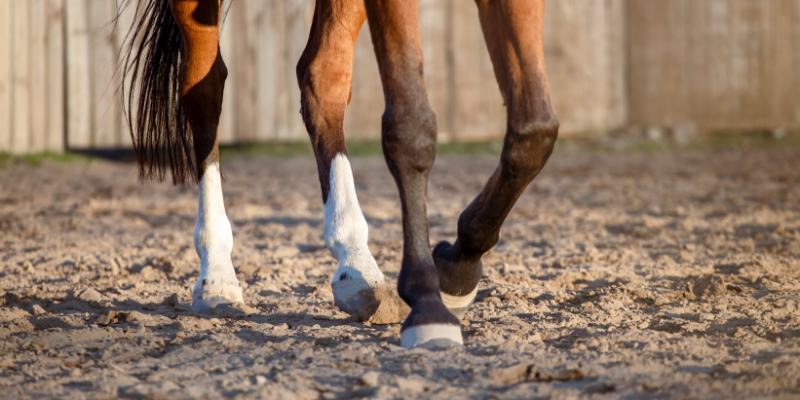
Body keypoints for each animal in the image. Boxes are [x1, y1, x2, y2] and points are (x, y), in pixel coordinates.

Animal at [120, 0, 556, 348]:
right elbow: (410, 129)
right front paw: (428, 304)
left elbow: (535, 131)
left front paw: (457, 267)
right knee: (204, 87)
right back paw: (217, 274)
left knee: (321, 75)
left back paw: (356, 264)